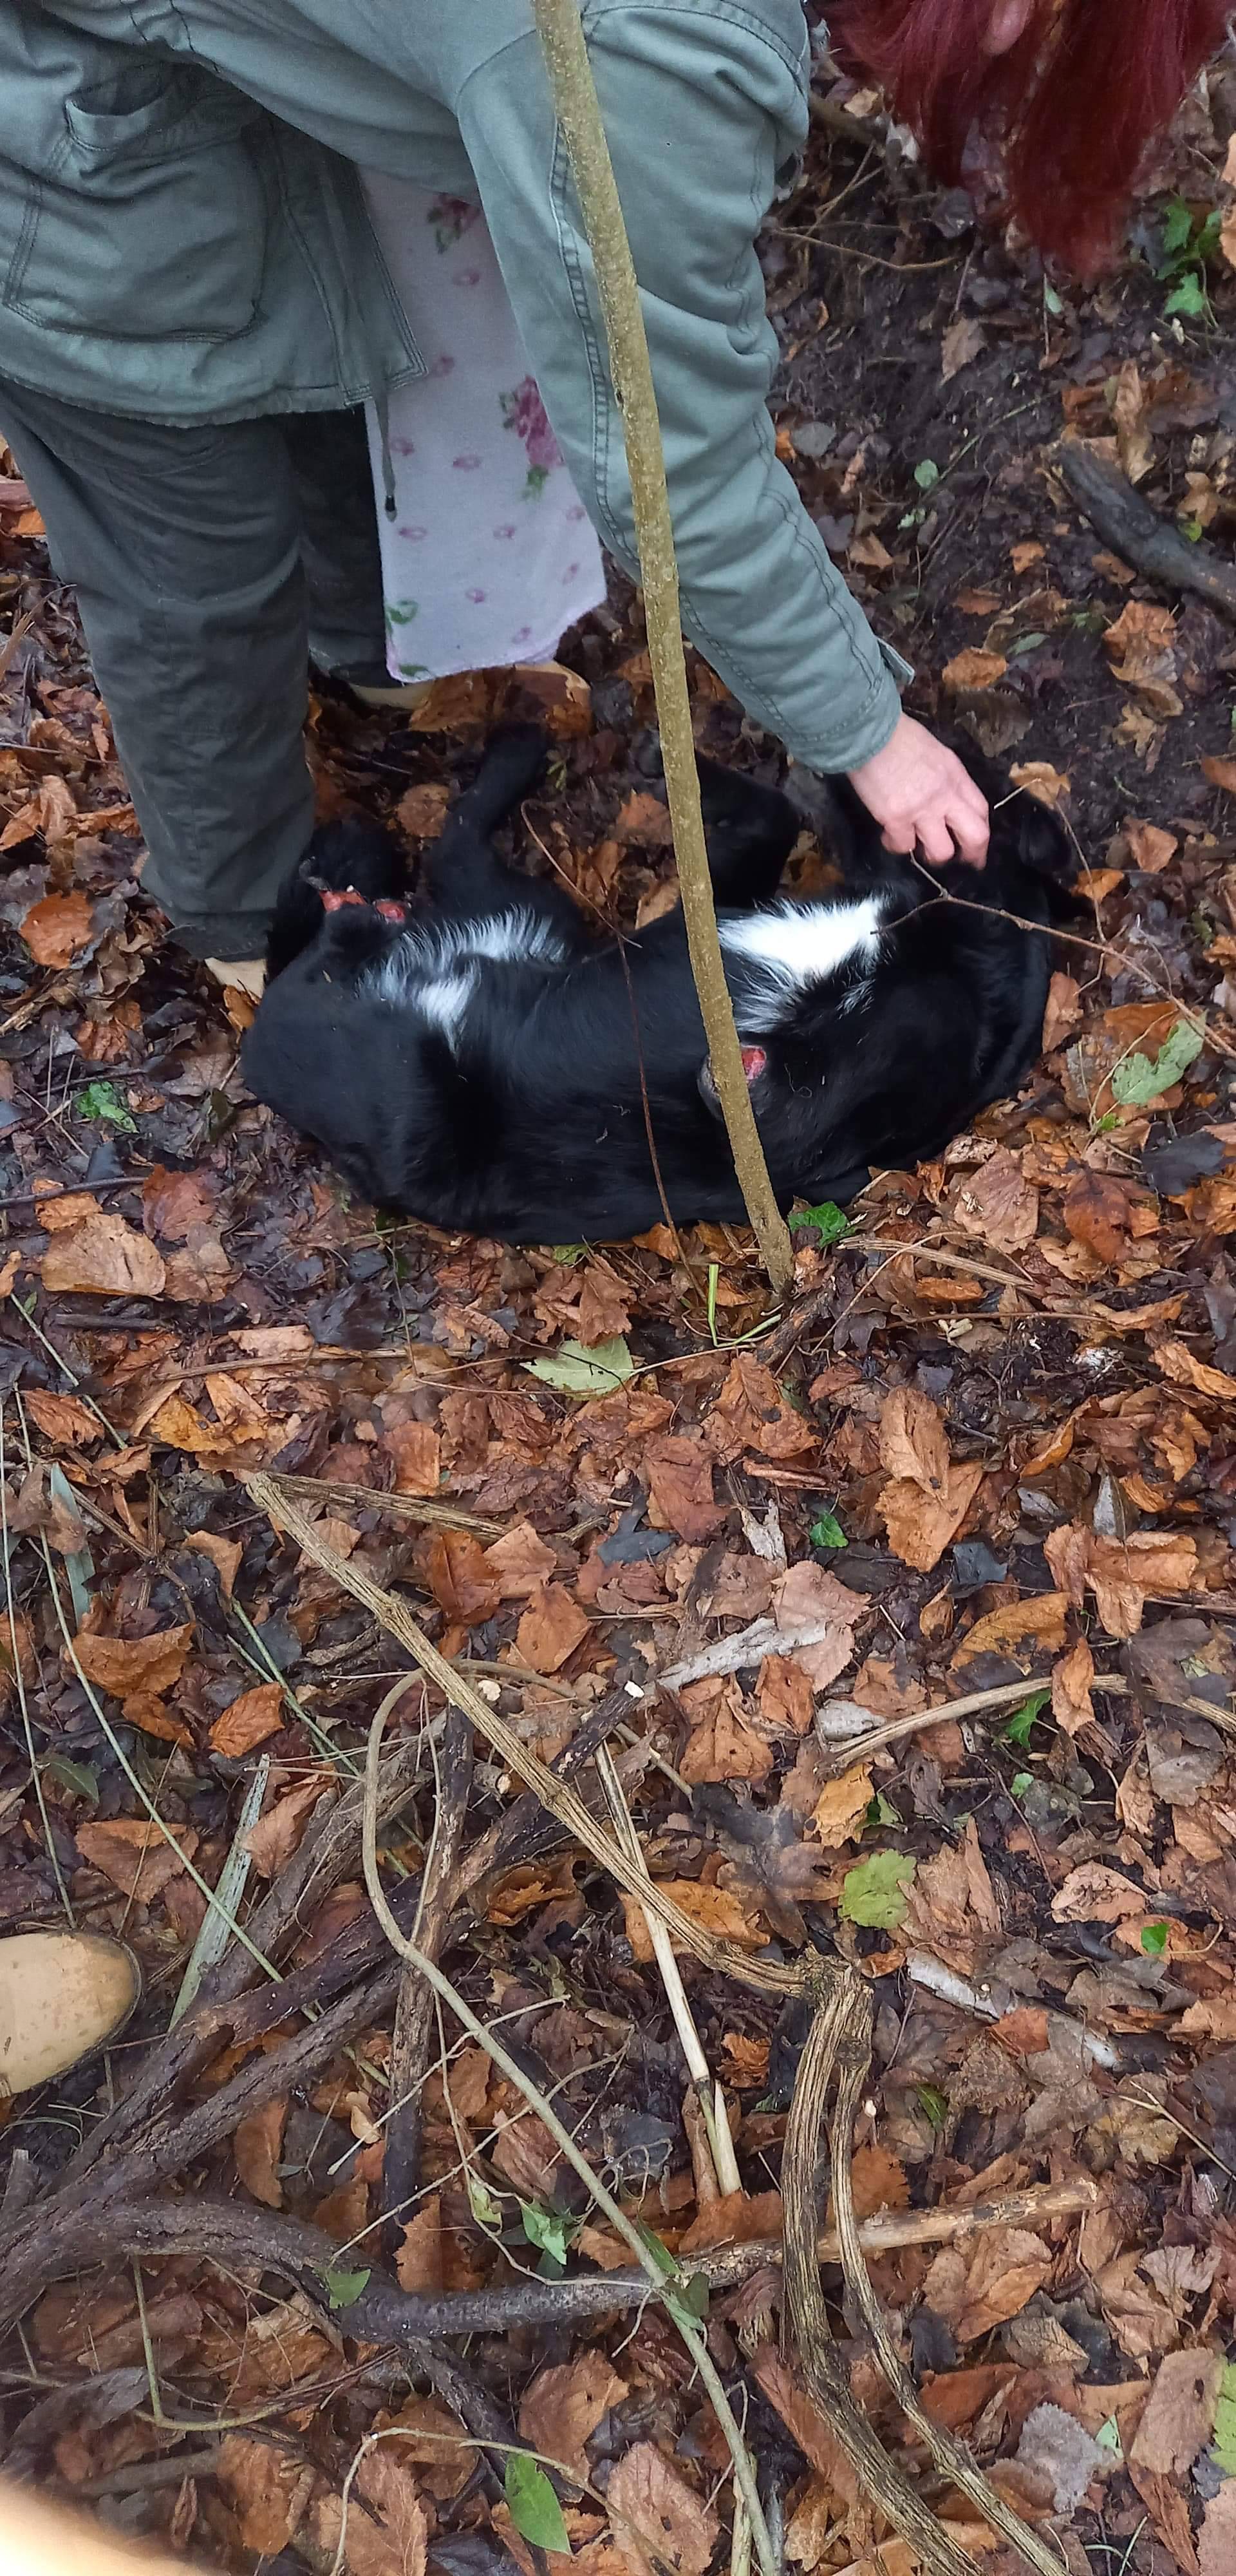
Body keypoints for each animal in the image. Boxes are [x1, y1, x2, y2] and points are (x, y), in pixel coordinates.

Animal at [242, 726, 1071, 1247]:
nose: (832, 758)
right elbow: (769, 824)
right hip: (533, 920)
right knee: (450, 849)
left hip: (412, 1091)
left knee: (314, 979)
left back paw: (356, 910)